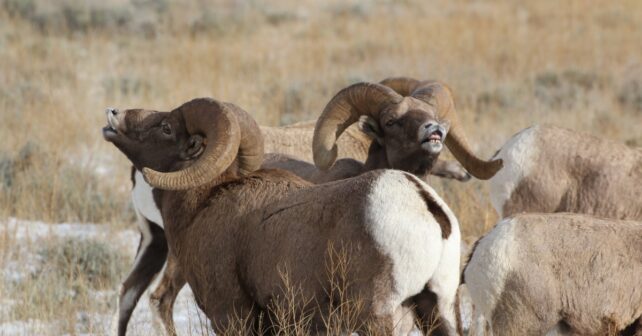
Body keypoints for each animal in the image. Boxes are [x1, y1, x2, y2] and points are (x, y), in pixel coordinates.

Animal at [102, 98, 462, 334]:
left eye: (165, 128)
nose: (113, 114)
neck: (203, 204)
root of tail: (426, 207)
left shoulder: (231, 316)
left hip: (377, 318)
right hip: (437, 311)